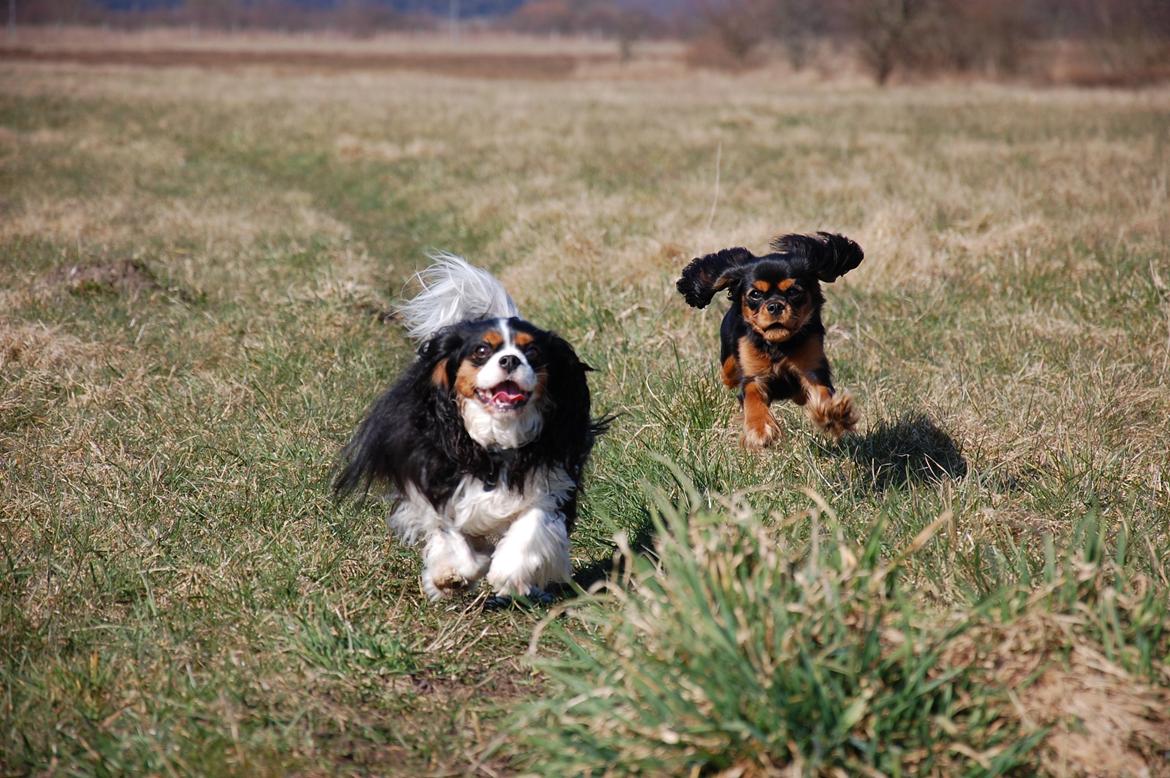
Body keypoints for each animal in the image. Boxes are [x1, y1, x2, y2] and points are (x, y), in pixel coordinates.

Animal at [683, 230, 865, 449]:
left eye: (793, 291)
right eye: (755, 294)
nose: (775, 305)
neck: (778, 344)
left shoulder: (812, 369)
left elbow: (822, 392)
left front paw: (833, 414)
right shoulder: (753, 376)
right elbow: (753, 397)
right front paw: (760, 429)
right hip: (728, 362)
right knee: (728, 374)